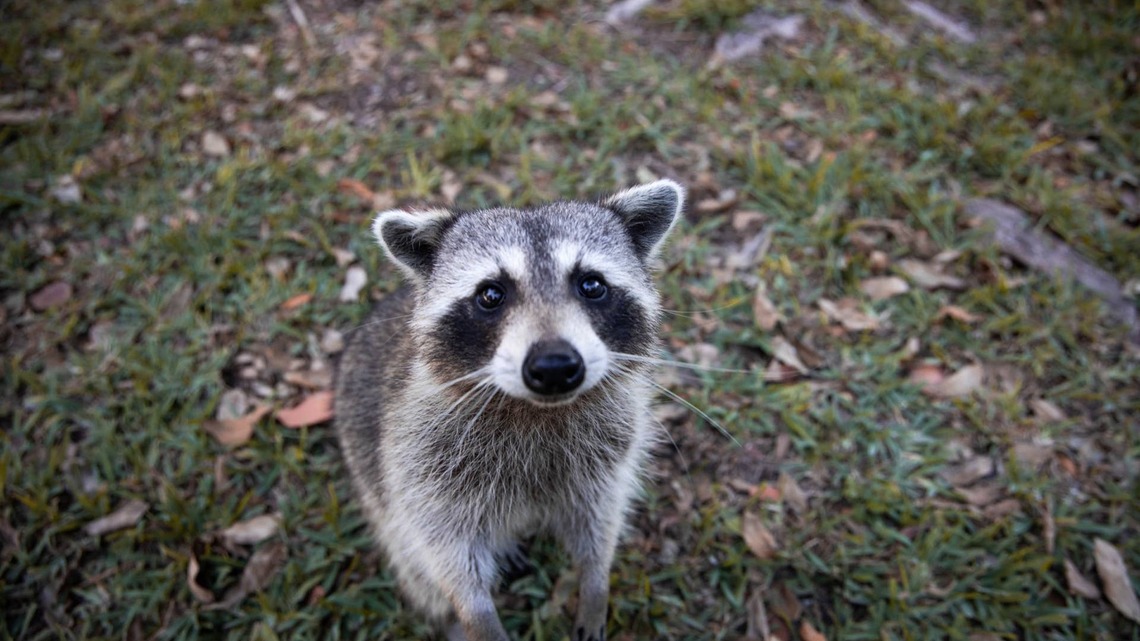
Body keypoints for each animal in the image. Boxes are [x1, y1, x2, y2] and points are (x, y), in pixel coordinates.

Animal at [334, 180, 685, 641]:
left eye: (591, 285)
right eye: (491, 294)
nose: (554, 367)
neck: (536, 410)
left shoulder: (607, 456)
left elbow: (599, 519)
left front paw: (595, 584)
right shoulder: (420, 461)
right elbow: (443, 549)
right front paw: (475, 616)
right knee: (416, 570)